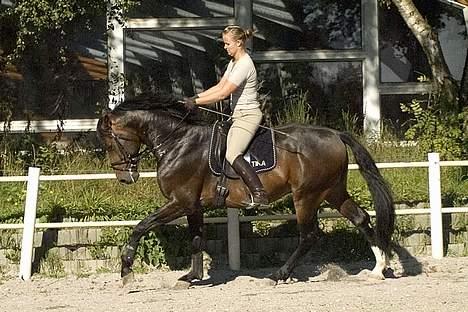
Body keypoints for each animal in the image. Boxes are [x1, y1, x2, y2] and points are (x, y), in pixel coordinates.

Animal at [96, 94, 394, 286]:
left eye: (110, 142)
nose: (125, 177)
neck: (178, 142)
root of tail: (334, 134)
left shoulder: (180, 201)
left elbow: (141, 226)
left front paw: (126, 270)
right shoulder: (193, 205)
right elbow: (196, 239)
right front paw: (192, 277)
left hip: (306, 196)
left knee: (309, 236)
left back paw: (278, 275)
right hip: (332, 191)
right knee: (360, 218)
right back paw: (378, 269)